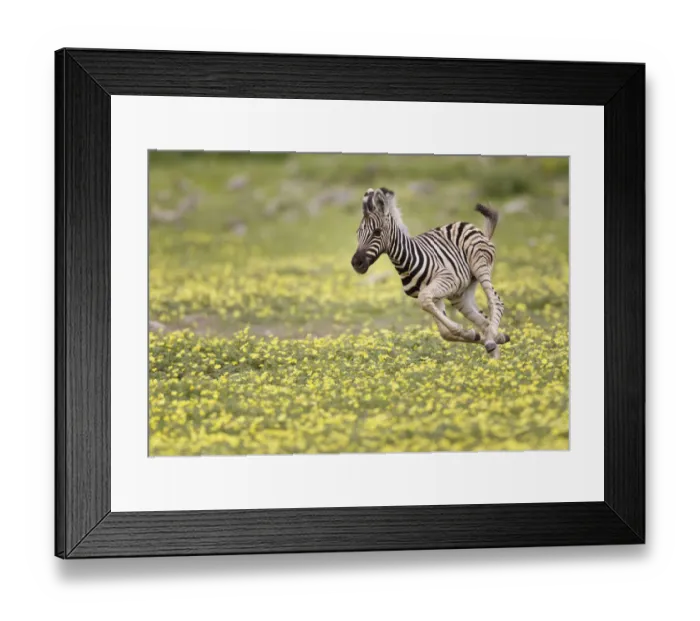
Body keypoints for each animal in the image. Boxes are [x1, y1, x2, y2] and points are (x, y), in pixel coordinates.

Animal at [350, 187, 510, 358]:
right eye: (357, 233)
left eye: (377, 232)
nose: (356, 263)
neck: (406, 262)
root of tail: (471, 227)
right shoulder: (435, 296)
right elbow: (443, 330)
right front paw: (471, 334)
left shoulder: (446, 280)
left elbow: (426, 303)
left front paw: (464, 331)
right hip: (460, 293)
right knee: (484, 321)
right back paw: (494, 353)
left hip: (479, 266)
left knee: (495, 301)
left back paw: (492, 341)